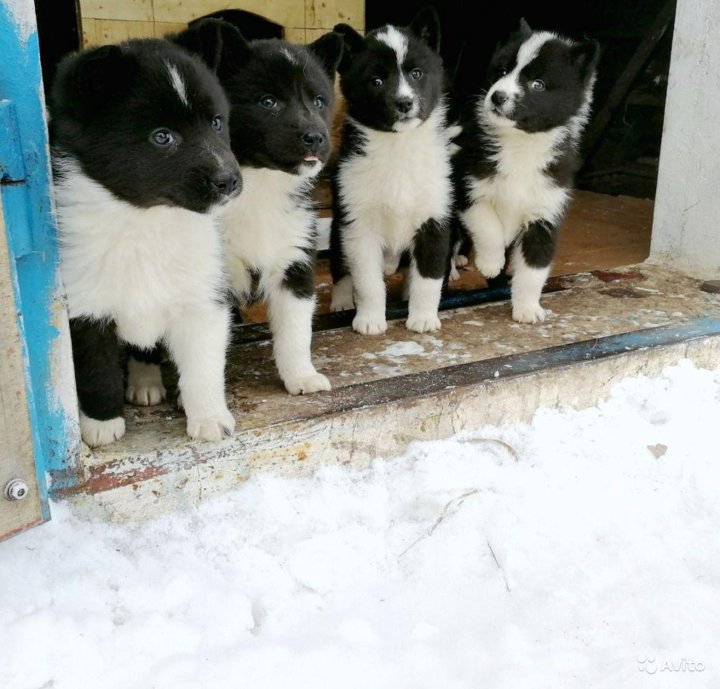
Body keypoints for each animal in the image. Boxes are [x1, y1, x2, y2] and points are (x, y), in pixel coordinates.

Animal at [52, 39, 242, 446]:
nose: (229, 181)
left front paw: (209, 418)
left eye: (217, 123)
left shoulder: (203, 297)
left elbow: (203, 365)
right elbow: (96, 370)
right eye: (162, 137)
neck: (147, 221)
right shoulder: (84, 308)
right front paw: (101, 425)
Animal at [176, 21, 342, 396]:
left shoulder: (295, 260)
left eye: (319, 101)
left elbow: (296, 333)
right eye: (268, 102)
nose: (316, 137)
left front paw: (301, 377)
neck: (261, 186)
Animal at [330, 8, 452, 336]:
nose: (405, 103)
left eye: (417, 74)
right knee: (341, 268)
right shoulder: (358, 224)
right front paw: (370, 320)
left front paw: (423, 317)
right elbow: (367, 281)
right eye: (376, 80)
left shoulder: (434, 219)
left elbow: (428, 278)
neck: (398, 146)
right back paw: (341, 300)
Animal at [452, 20, 600, 322]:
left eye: (538, 85)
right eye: (502, 71)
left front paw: (528, 308)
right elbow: (487, 222)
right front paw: (490, 262)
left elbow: (534, 269)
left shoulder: (545, 212)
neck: (520, 144)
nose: (497, 96)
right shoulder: (469, 185)